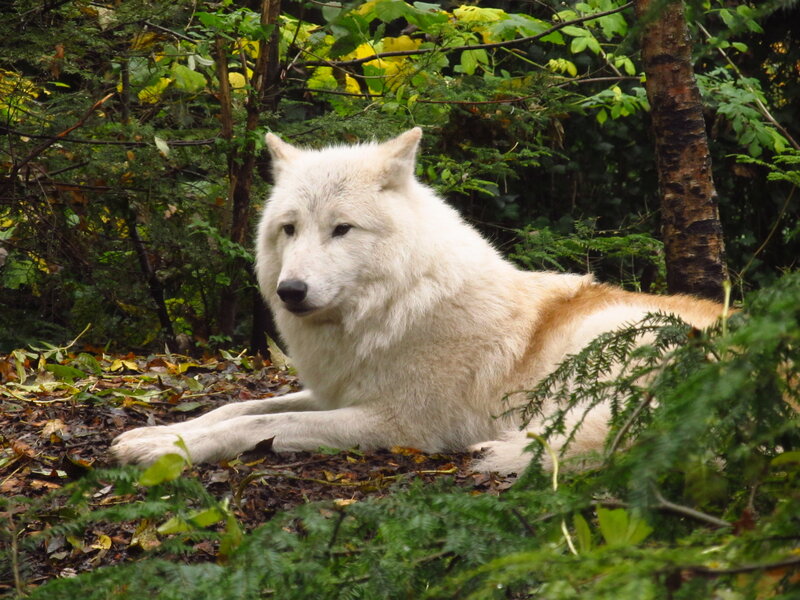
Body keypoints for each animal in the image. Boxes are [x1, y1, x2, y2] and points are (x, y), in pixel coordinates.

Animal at [110, 128, 724, 473]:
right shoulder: (335, 392)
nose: (290, 291)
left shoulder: (395, 424)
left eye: (341, 229)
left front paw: (164, 451)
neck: (395, 309)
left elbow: (253, 426)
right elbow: (236, 409)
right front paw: (151, 435)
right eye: (289, 228)